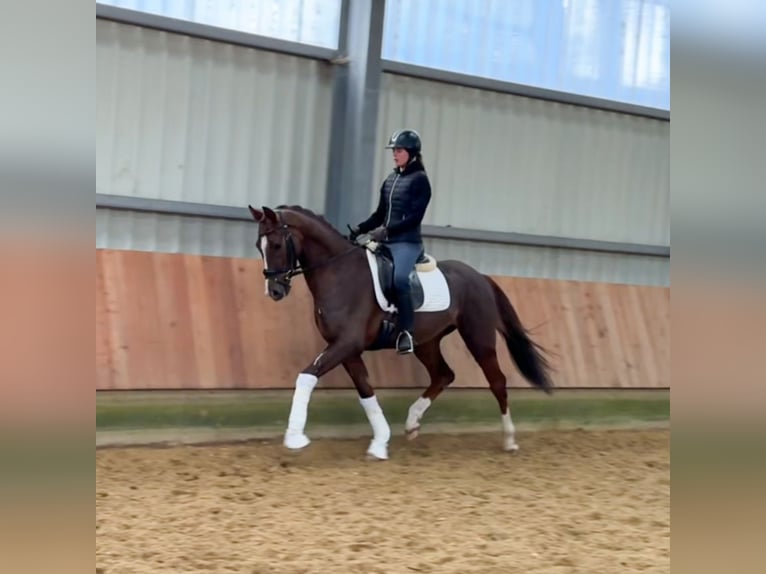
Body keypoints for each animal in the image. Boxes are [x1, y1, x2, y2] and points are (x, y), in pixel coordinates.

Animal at [249, 205, 556, 462]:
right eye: (258, 246)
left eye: (276, 244)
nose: (274, 291)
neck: (339, 272)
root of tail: (479, 277)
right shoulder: (345, 348)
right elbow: (365, 390)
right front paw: (380, 442)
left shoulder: (347, 343)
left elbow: (306, 376)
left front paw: (295, 438)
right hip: (426, 341)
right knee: (443, 375)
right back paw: (412, 423)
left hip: (478, 337)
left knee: (497, 382)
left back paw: (509, 440)